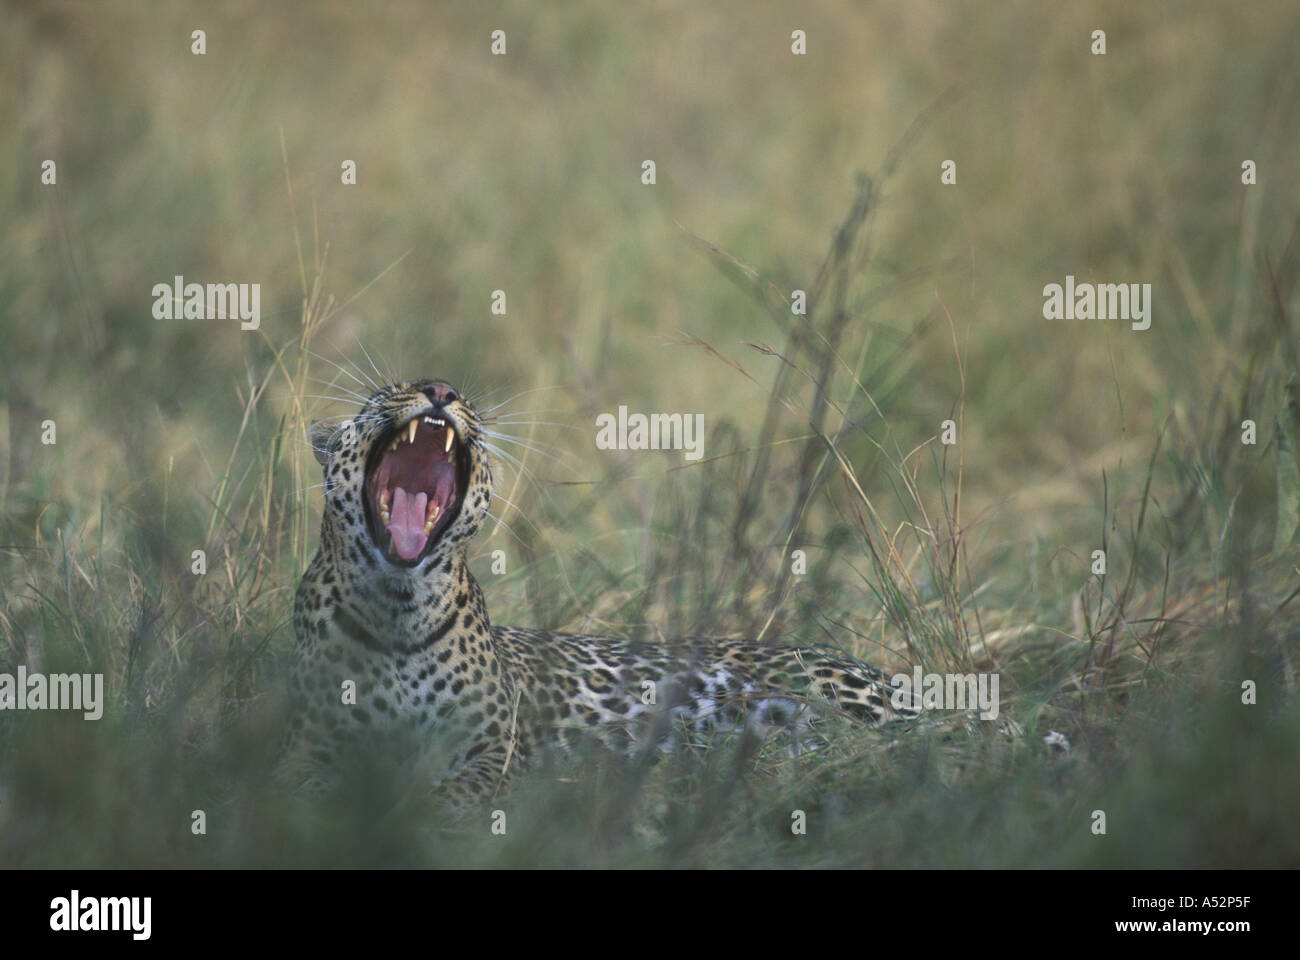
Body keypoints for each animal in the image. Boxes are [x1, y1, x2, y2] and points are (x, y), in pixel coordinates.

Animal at [278, 377, 918, 808]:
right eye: (386, 393)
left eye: (458, 397)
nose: (439, 389)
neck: (399, 607)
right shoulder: (310, 740)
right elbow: (307, 783)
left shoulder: (493, 749)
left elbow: (459, 791)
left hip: (844, 696)